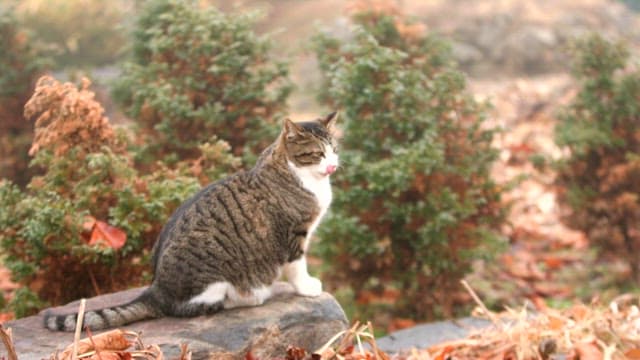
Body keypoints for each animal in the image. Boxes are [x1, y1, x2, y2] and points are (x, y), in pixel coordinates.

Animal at [43, 112, 340, 332]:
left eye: (335, 150)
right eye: (318, 154)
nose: (333, 166)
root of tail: (156, 289)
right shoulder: (294, 233)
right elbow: (297, 266)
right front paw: (307, 287)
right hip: (213, 275)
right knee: (195, 307)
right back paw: (250, 297)